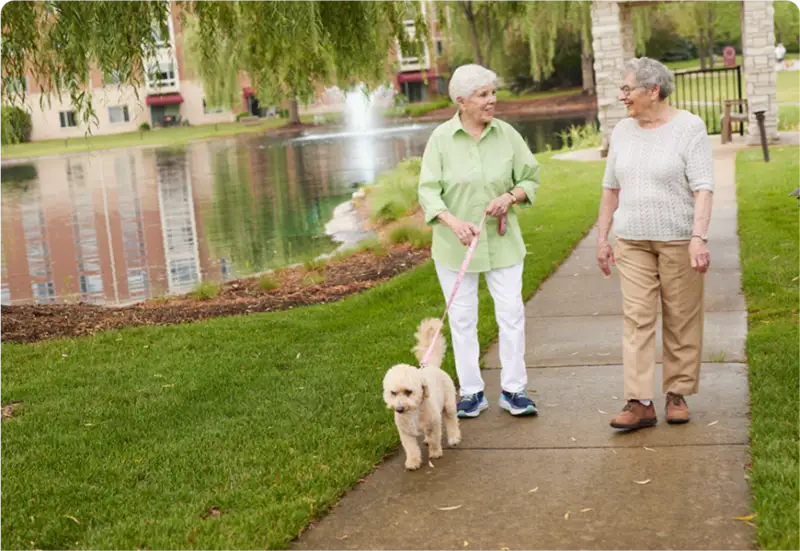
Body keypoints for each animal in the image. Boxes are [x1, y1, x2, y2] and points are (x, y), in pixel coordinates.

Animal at [382, 320, 460, 470]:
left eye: (408, 391)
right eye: (393, 393)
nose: (399, 409)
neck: (414, 410)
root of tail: (431, 365)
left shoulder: (434, 423)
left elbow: (435, 439)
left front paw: (435, 453)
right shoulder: (405, 432)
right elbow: (411, 448)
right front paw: (413, 462)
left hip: (449, 404)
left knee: (451, 420)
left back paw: (454, 437)